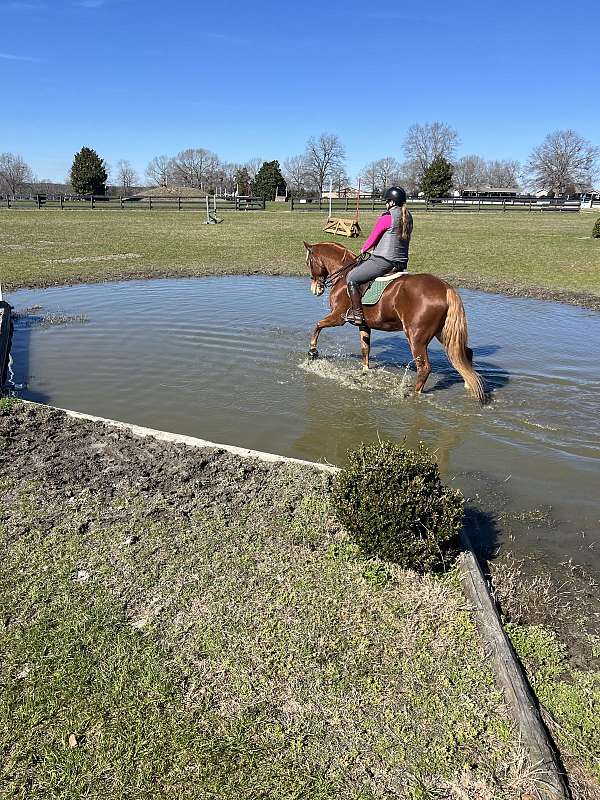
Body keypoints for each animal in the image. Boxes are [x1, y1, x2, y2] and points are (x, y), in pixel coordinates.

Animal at [302, 238, 486, 400]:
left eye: (308, 262)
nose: (315, 289)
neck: (344, 275)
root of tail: (445, 288)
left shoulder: (338, 317)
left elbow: (317, 325)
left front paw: (312, 352)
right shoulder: (364, 324)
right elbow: (365, 348)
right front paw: (364, 371)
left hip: (416, 337)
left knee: (424, 367)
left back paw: (415, 394)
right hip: (442, 332)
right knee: (465, 353)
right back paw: (468, 384)